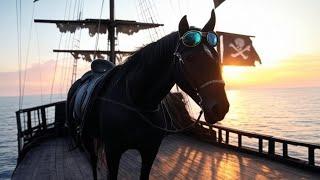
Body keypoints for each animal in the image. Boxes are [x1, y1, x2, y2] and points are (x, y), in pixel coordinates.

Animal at [66, 9, 229, 180]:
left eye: (216, 56)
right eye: (189, 58)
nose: (220, 107)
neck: (137, 102)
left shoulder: (150, 151)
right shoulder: (113, 152)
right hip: (87, 137)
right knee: (93, 160)